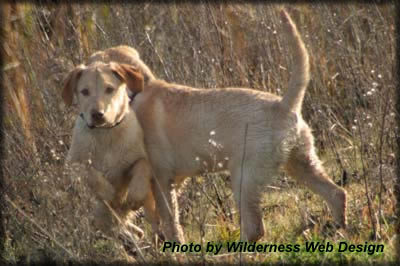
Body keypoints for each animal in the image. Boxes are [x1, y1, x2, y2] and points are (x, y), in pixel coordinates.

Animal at [62, 45, 158, 237]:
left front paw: (132, 196)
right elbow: (89, 173)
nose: (97, 114)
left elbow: (141, 166)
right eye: (85, 91)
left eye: (109, 89)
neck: (106, 134)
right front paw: (107, 192)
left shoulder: (142, 158)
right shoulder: (71, 165)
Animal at [128, 10, 346, 243]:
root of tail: (284, 105)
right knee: (336, 193)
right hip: (300, 163)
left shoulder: (162, 178)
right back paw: (340, 231)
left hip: (245, 176)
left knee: (255, 228)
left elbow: (169, 220)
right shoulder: (170, 180)